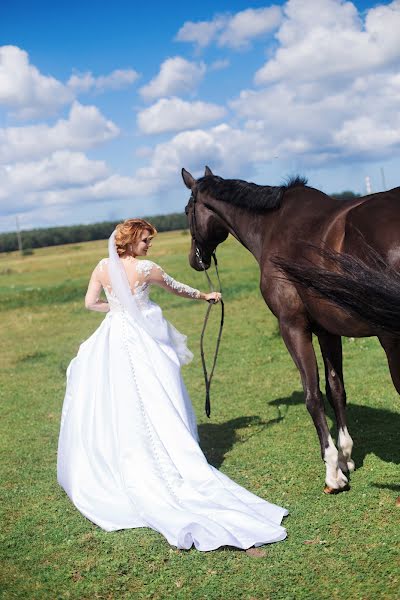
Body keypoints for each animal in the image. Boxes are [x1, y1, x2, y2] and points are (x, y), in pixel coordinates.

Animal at [182, 166, 400, 494]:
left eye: (187, 211)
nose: (195, 260)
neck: (272, 226)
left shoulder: (292, 327)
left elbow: (312, 395)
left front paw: (332, 473)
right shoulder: (327, 330)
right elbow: (336, 390)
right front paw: (346, 459)